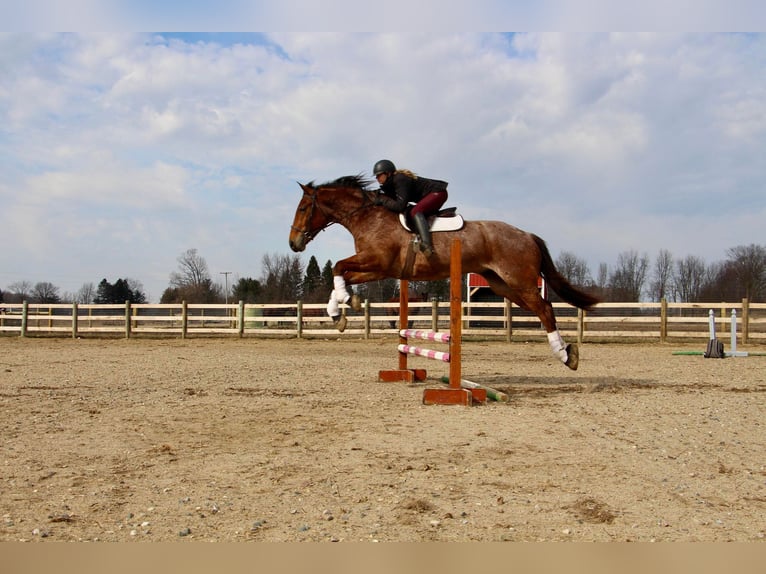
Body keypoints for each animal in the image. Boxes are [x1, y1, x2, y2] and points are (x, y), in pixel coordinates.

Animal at [288, 177, 600, 374]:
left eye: (303, 208)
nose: (294, 244)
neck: (368, 216)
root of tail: (527, 235)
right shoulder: (377, 268)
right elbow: (341, 274)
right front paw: (339, 314)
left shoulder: (378, 263)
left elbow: (338, 267)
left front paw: (344, 304)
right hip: (504, 286)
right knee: (540, 308)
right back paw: (567, 353)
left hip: (520, 282)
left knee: (545, 309)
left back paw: (565, 356)